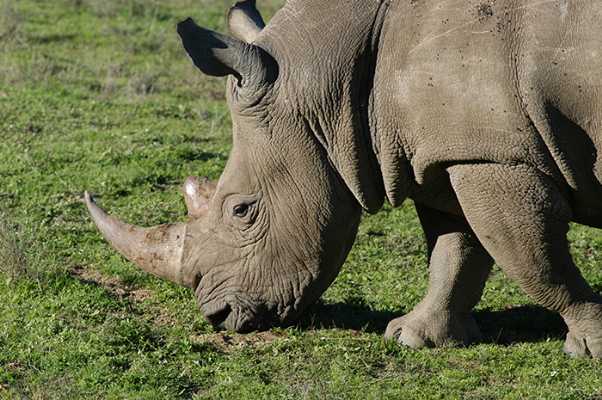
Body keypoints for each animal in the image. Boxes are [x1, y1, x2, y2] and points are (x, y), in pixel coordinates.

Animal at [85, 0, 602, 358]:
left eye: (242, 210)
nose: (219, 316)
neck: (323, 79)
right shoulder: (451, 151)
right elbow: (456, 251)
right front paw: (412, 338)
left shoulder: (495, 156)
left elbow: (537, 262)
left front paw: (590, 347)